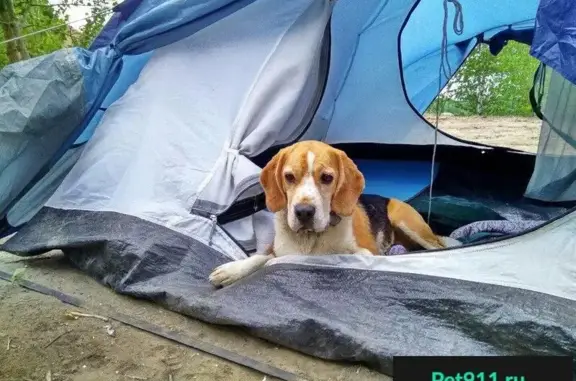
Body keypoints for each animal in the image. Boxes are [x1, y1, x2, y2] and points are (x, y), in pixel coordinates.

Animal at [209, 140, 448, 284]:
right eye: (289, 177)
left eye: (327, 178)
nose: (304, 212)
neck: (310, 238)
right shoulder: (277, 249)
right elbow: (259, 257)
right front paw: (232, 270)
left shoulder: (367, 252)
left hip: (407, 222)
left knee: (437, 246)